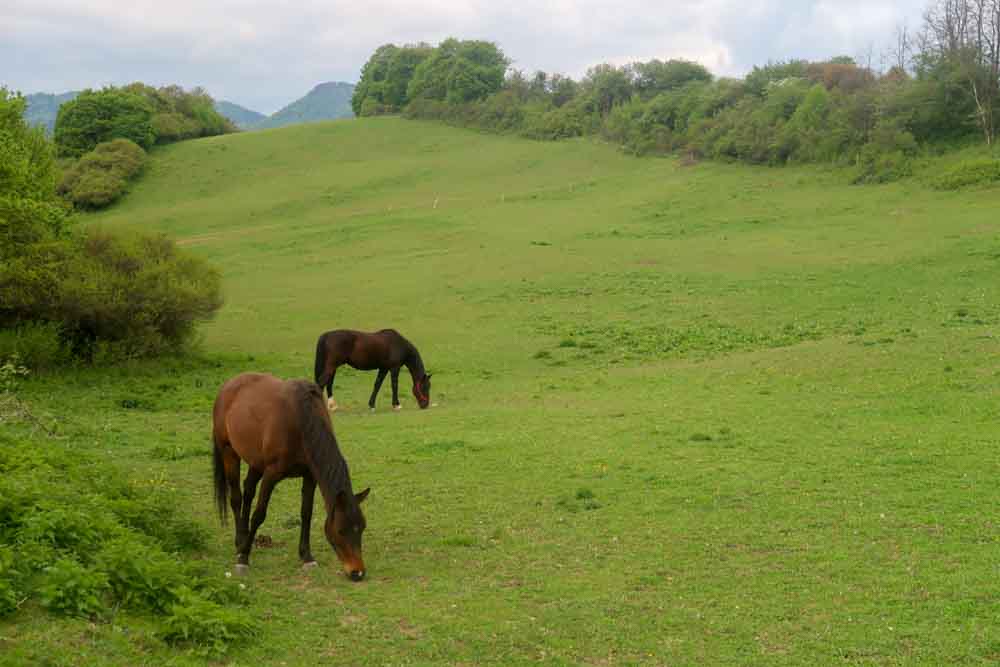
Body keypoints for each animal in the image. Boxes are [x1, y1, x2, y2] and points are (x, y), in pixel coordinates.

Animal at [212, 374, 372, 580]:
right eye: (341, 530)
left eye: (362, 527)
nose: (357, 572)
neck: (301, 421)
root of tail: (227, 386)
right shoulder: (271, 475)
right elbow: (259, 514)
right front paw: (243, 560)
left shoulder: (310, 476)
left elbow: (306, 513)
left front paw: (307, 556)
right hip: (229, 452)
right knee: (236, 498)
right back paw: (240, 542)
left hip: (256, 462)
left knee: (248, 491)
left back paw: (245, 537)